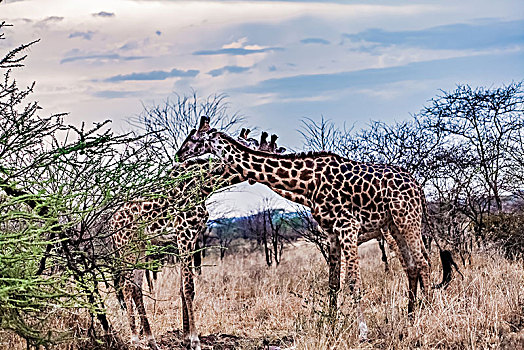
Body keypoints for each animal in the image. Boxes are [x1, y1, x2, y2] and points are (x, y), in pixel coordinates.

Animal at [110, 129, 280, 350]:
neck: (203, 186)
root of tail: (112, 223)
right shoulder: (184, 233)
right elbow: (189, 287)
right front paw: (195, 340)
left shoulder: (191, 237)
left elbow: (183, 288)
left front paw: (185, 337)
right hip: (127, 248)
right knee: (128, 286)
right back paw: (135, 338)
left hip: (141, 249)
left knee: (135, 287)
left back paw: (149, 339)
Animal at [174, 116, 432, 340]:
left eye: (194, 137)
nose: (179, 154)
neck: (307, 184)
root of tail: (417, 186)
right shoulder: (332, 233)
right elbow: (333, 283)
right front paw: (331, 326)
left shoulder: (348, 227)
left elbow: (353, 282)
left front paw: (362, 332)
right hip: (394, 225)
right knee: (412, 265)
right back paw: (410, 318)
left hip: (407, 219)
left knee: (423, 263)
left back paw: (428, 313)